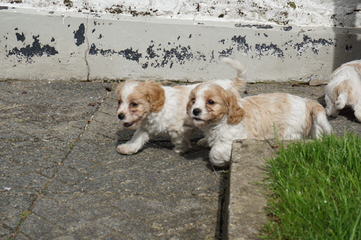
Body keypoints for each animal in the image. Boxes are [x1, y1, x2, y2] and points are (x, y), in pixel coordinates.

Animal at [116, 57, 246, 155]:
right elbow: (137, 137)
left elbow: (178, 139)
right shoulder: (146, 126)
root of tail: (230, 83)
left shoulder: (178, 128)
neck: (156, 110)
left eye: (134, 104)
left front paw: (181, 149)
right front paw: (128, 148)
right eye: (119, 102)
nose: (120, 116)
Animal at [188, 84, 332, 167]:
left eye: (211, 102)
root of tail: (306, 101)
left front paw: (223, 160)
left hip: (288, 132)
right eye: (193, 101)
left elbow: (215, 153)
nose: (195, 111)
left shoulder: (232, 138)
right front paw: (204, 140)